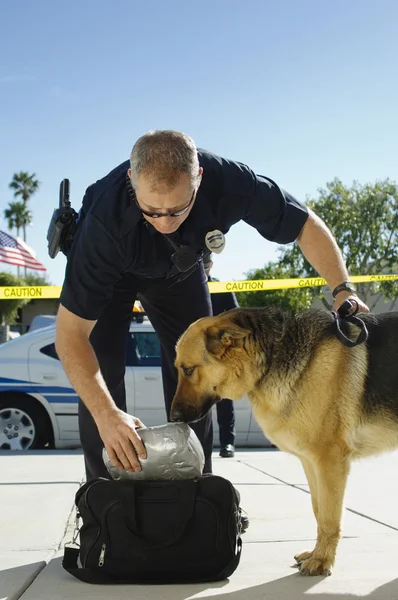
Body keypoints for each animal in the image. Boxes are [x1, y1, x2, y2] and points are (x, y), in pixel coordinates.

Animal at [169, 310, 398, 576]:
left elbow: (329, 517)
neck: (274, 357)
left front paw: (322, 561)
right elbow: (318, 509)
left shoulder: (329, 462)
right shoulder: (311, 462)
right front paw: (316, 554)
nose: (172, 417)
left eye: (188, 369)